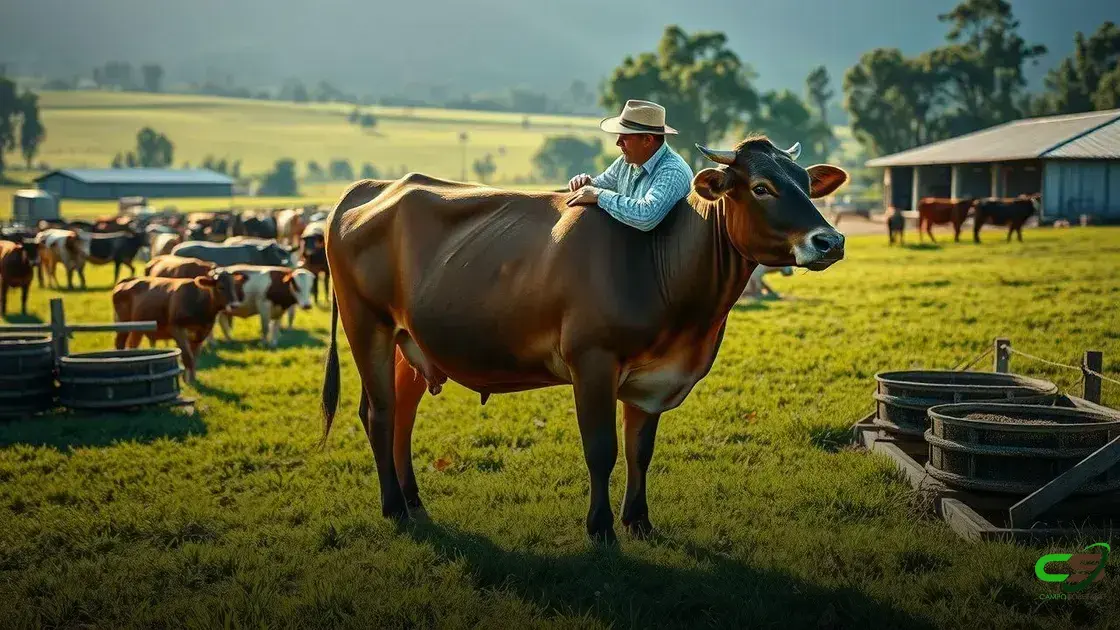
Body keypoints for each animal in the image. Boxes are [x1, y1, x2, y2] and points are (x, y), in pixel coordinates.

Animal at [111, 269, 246, 383]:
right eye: (220, 287)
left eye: (233, 287)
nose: (234, 305)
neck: (198, 302)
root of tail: (126, 280)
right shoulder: (176, 329)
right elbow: (187, 356)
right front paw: (187, 381)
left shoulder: (202, 333)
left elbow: (194, 357)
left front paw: (191, 378)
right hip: (123, 324)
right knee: (120, 343)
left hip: (138, 327)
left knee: (133, 344)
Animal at [319, 136, 848, 541]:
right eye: (761, 187)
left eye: (806, 184)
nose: (831, 241)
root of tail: (373, 187)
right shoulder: (592, 363)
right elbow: (602, 449)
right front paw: (601, 528)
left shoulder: (653, 378)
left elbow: (640, 451)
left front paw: (639, 522)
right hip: (367, 324)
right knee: (380, 413)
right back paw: (394, 508)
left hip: (413, 341)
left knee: (403, 416)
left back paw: (413, 501)